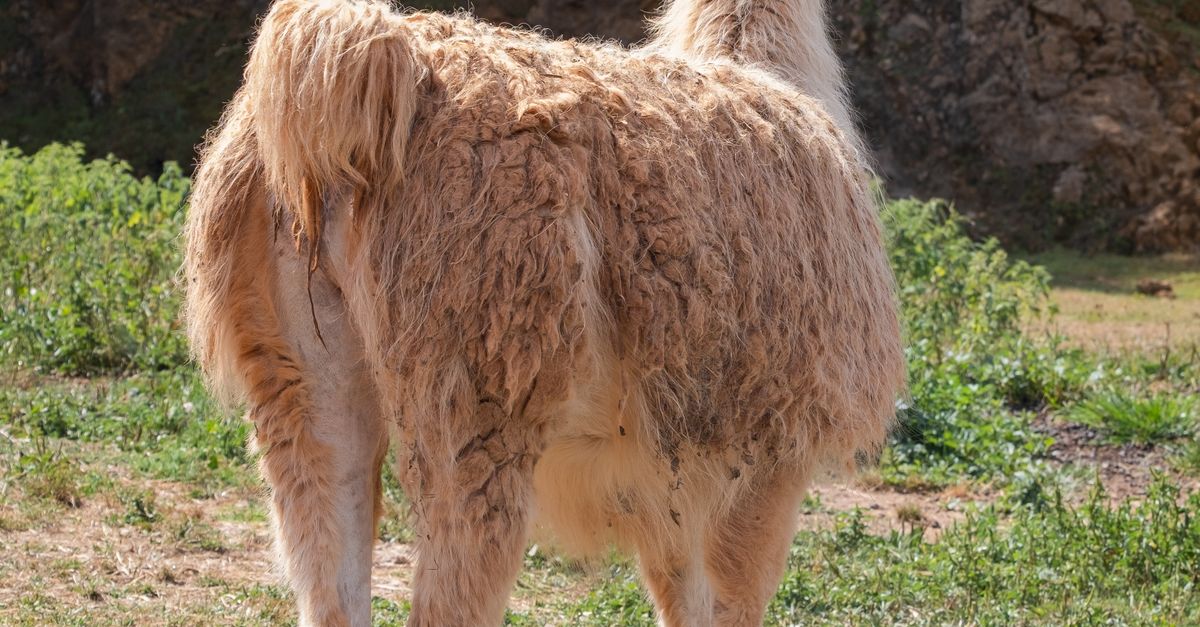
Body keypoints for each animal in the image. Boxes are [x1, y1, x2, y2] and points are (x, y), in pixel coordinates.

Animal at [182, 0, 904, 624]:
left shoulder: (673, 468)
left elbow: (681, 593)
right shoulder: (769, 439)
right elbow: (732, 597)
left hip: (294, 365)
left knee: (327, 558)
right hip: (479, 365)